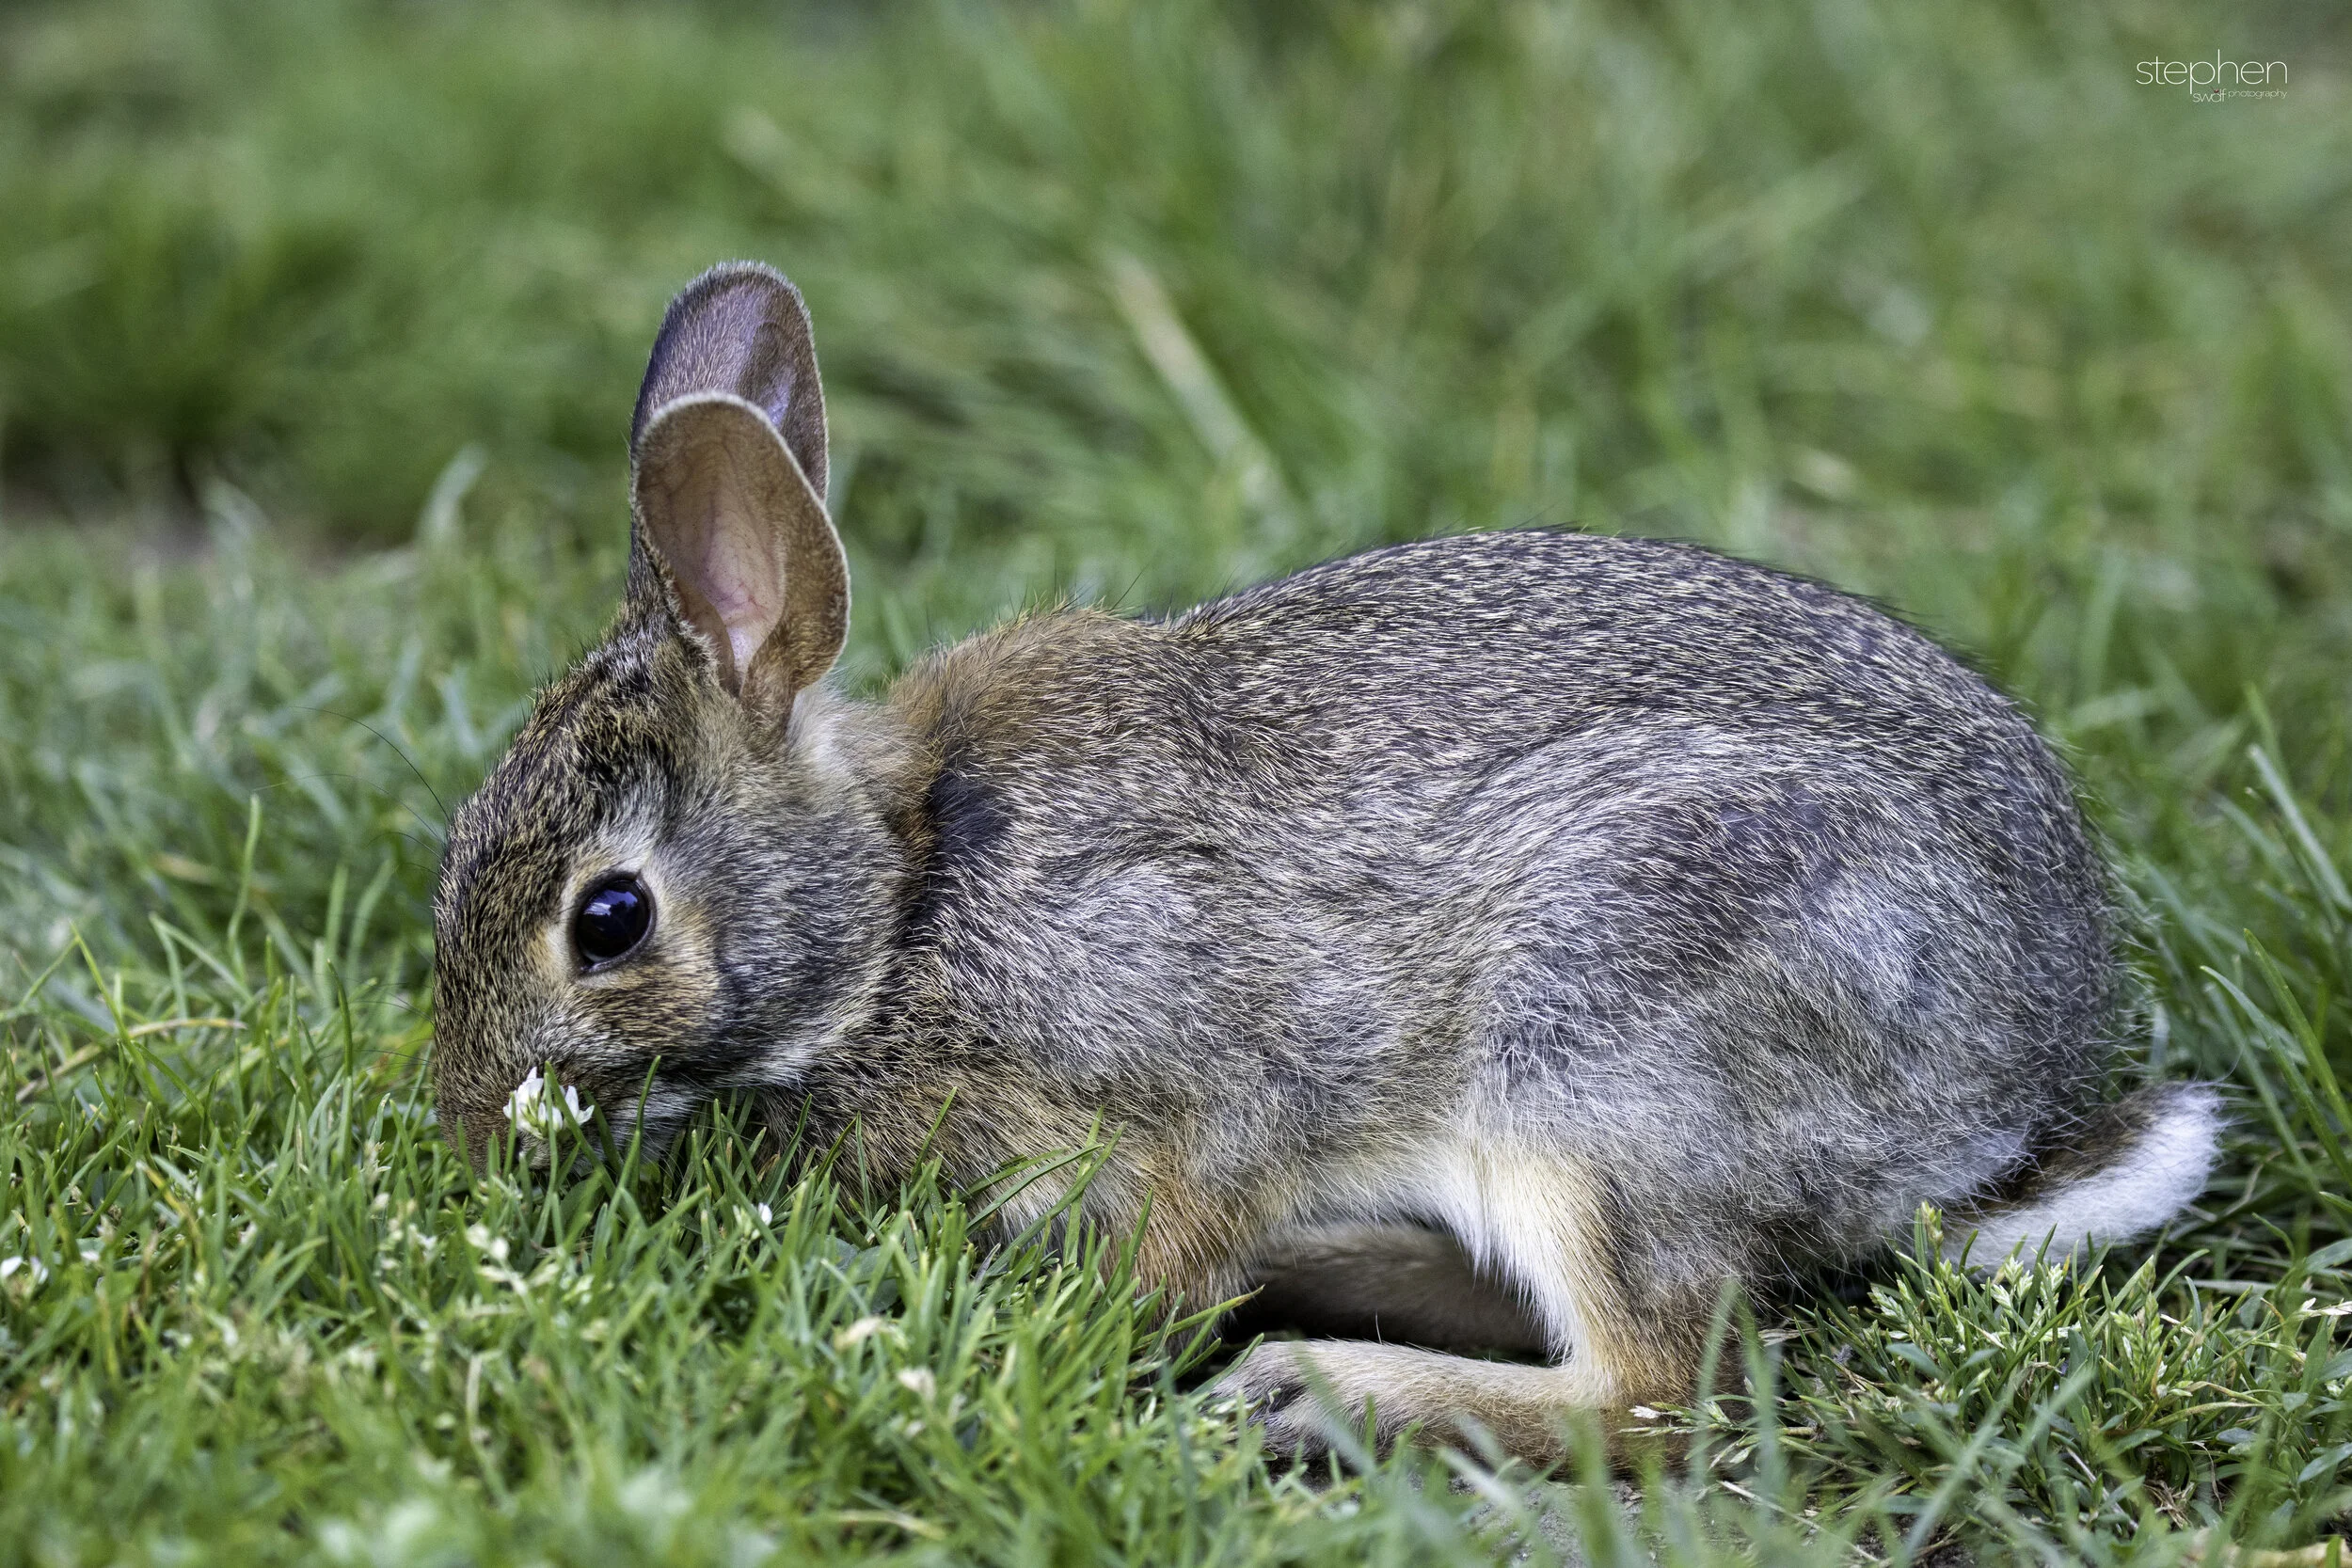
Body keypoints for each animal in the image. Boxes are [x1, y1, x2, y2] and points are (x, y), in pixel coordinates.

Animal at [431, 261, 2222, 1468]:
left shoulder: (1190, 1086)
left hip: (1598, 1055)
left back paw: (1316, 1386)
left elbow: (1177, 1235)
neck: (905, 900)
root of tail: (2004, 1098)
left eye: (608, 918)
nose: (468, 1130)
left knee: (1660, 1384)